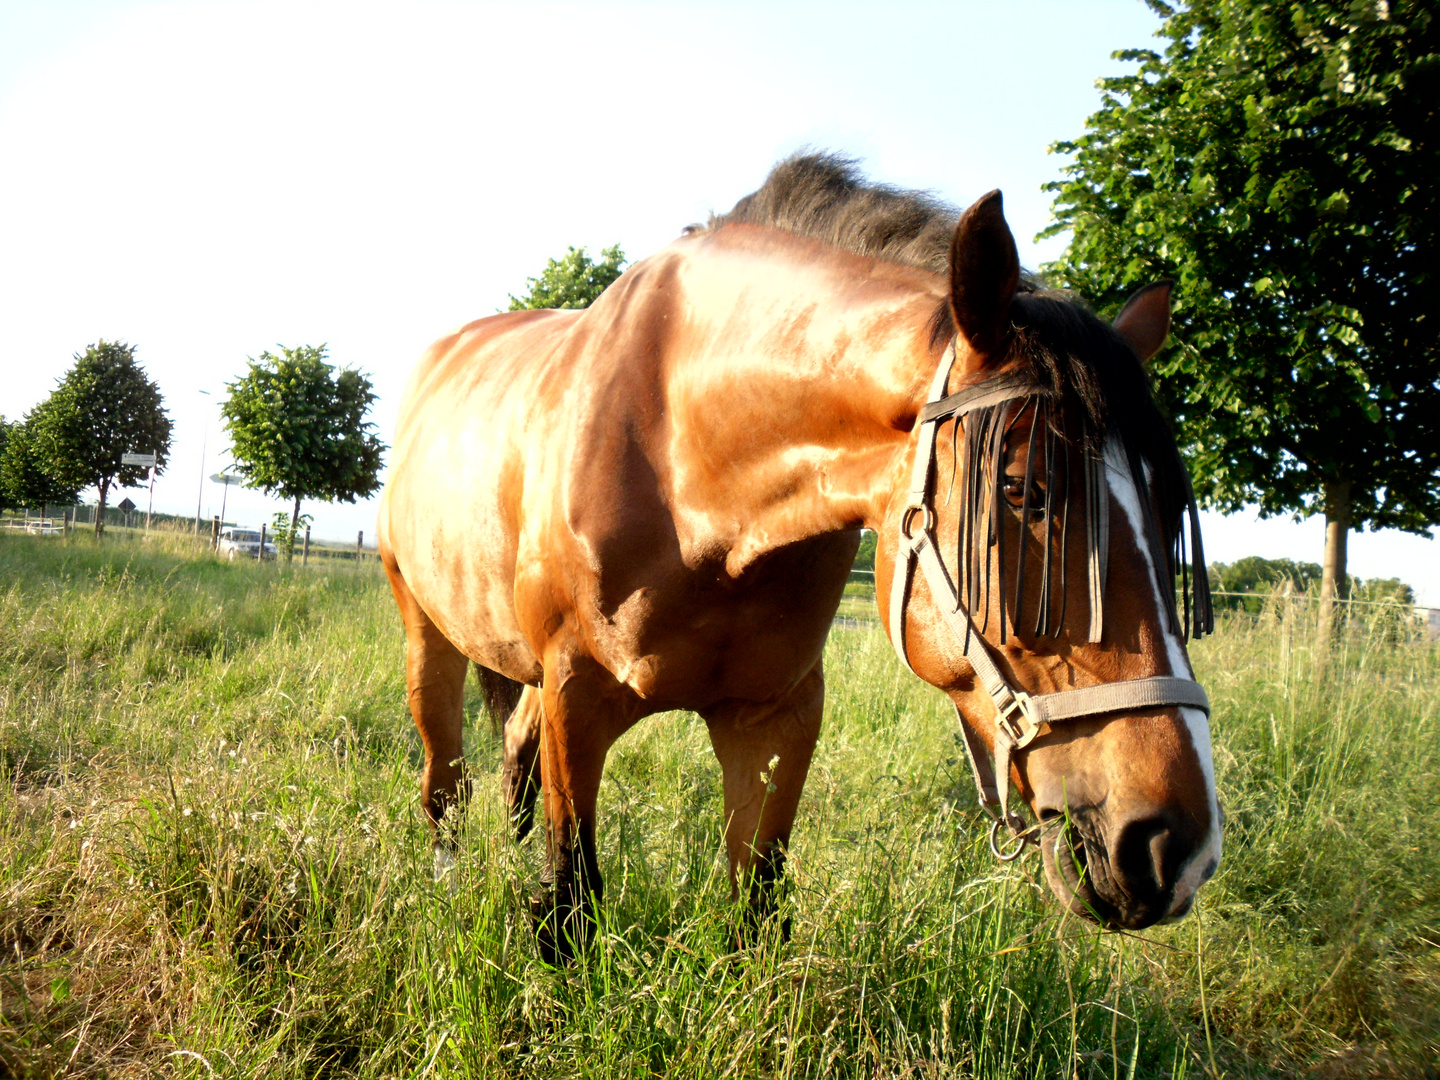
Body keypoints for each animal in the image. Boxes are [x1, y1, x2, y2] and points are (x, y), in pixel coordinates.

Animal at [377, 154, 1221, 961]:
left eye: (1167, 509)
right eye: (1022, 489)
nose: (1175, 846)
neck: (686, 467)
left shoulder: (774, 717)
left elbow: (756, 906)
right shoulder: (575, 695)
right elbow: (570, 901)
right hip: (428, 638)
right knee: (445, 785)